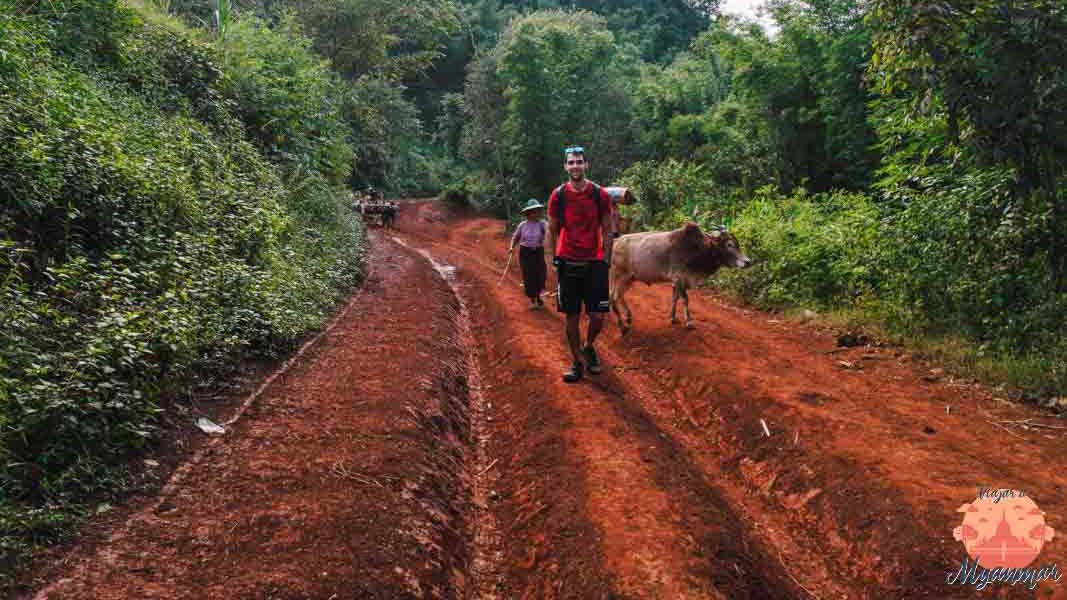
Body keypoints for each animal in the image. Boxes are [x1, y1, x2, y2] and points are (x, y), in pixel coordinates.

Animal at [610, 220, 751, 333]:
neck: (697, 250)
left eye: (737, 244)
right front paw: (689, 322)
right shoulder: (679, 277)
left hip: (629, 278)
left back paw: (628, 317)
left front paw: (673, 318)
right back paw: (622, 326)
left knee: (619, 295)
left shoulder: (677, 281)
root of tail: (616, 241)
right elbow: (685, 299)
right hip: (619, 275)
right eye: (729, 244)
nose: (748, 262)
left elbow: (675, 298)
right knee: (613, 297)